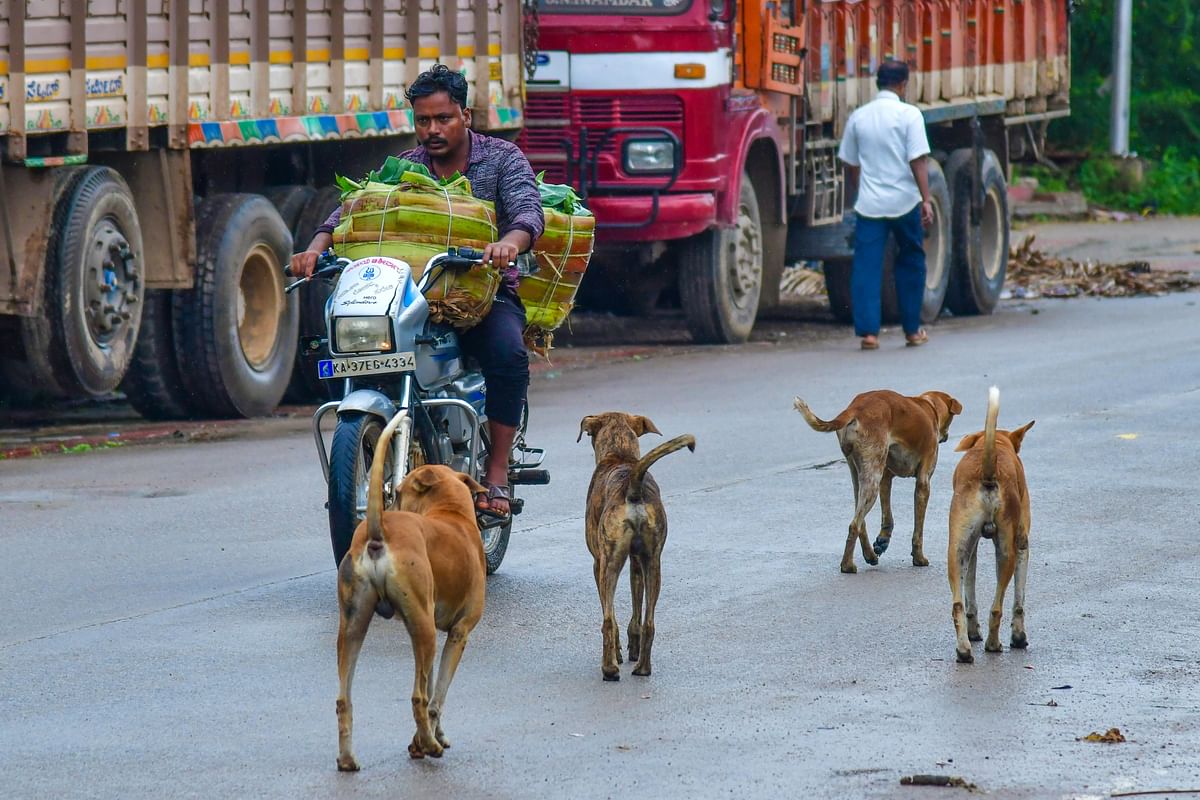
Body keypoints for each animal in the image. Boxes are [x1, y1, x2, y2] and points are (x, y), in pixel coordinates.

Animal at [331, 412, 484, 767]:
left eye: (399, 491)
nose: (391, 501)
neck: (452, 513)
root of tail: (378, 530)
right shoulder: (459, 633)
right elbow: (437, 694)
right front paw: (427, 740)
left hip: (353, 625)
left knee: (344, 698)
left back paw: (347, 759)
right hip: (424, 629)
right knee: (419, 695)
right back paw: (428, 744)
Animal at [578, 412, 696, 681]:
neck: (620, 454)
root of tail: (632, 484)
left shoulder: (598, 563)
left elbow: (610, 614)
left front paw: (618, 654)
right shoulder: (636, 562)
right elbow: (636, 614)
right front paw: (632, 648)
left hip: (609, 564)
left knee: (607, 621)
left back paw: (609, 669)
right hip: (653, 563)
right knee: (649, 623)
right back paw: (643, 668)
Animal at [792, 388, 960, 573]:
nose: (946, 436)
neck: (929, 406)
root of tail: (856, 407)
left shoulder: (885, 478)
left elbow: (887, 517)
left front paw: (883, 540)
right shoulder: (923, 483)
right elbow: (918, 530)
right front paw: (918, 557)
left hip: (861, 475)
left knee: (860, 521)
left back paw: (869, 555)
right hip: (872, 479)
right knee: (855, 524)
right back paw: (847, 565)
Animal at [950, 388, 1036, 662]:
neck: (998, 443)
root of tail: (987, 469)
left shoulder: (972, 549)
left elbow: (970, 593)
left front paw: (973, 631)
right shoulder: (1022, 544)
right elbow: (1019, 600)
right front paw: (1018, 637)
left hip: (956, 551)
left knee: (958, 605)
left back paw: (965, 648)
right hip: (1007, 552)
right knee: (997, 607)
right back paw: (993, 643)